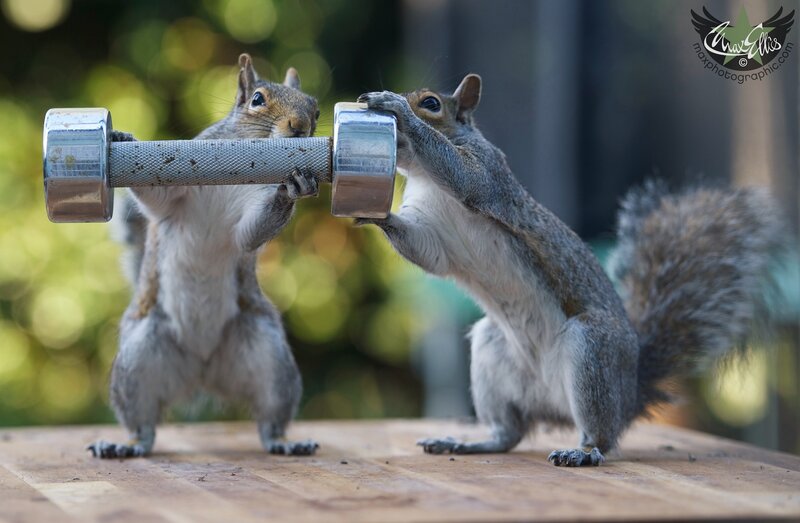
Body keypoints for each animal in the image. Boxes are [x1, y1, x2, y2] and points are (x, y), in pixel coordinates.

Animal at [88, 54, 321, 459]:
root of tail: (202, 370)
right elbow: (157, 198)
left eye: (316, 109)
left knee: (270, 418)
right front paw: (122, 139)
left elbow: (252, 233)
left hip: (269, 357)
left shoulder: (245, 225)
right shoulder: (177, 194)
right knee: (143, 423)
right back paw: (127, 444)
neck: (233, 175)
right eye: (257, 99)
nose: (301, 126)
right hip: (138, 359)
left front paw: (292, 187)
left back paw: (284, 441)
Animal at [356, 76, 783, 466]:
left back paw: (584, 451)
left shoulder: (488, 171)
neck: (426, 179)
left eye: (431, 103)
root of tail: (629, 392)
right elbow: (427, 252)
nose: (400, 107)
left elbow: (463, 176)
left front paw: (398, 109)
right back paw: (470, 443)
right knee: (509, 433)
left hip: (592, 351)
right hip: (493, 354)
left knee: (601, 433)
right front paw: (371, 214)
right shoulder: (434, 235)